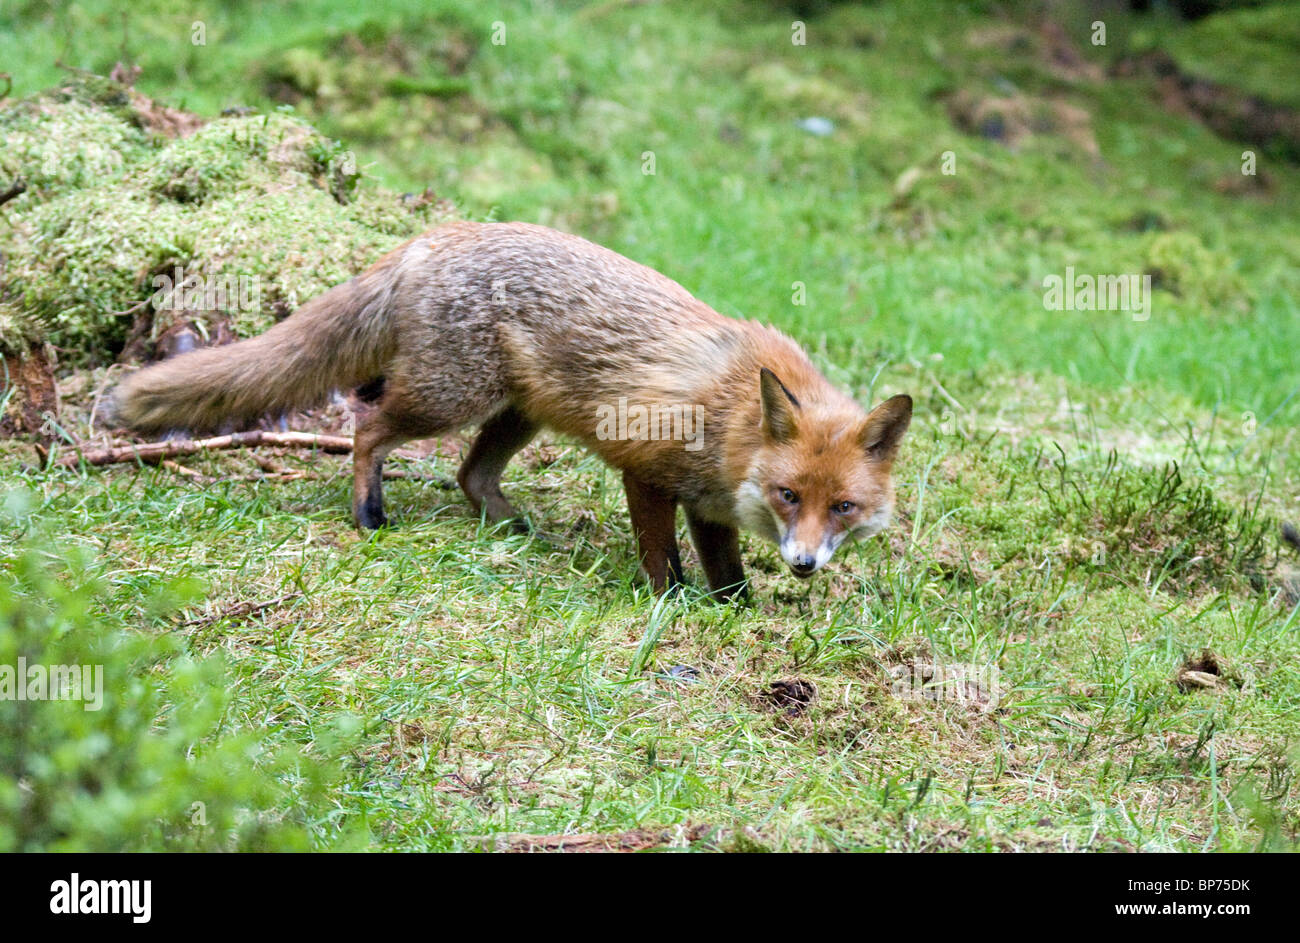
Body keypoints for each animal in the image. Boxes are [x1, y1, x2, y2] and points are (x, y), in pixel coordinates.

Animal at [111, 222, 909, 595]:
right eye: (789, 494)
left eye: (841, 507)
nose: (804, 564)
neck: (735, 421)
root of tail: (436, 236)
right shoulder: (647, 468)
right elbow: (664, 560)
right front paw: (670, 605)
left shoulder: (708, 505)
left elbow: (729, 574)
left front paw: (739, 614)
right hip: (450, 396)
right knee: (368, 424)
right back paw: (370, 510)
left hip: (517, 411)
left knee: (468, 473)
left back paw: (512, 525)